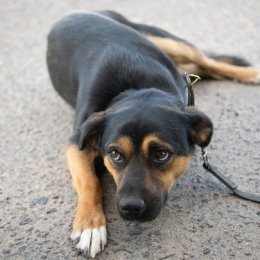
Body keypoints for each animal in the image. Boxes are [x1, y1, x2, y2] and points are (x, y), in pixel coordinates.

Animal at [46, 10, 260, 258]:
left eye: (161, 154)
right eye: (114, 154)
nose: (131, 208)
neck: (138, 89)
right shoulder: (77, 142)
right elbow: (89, 181)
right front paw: (90, 225)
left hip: (170, 42)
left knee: (207, 62)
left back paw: (252, 74)